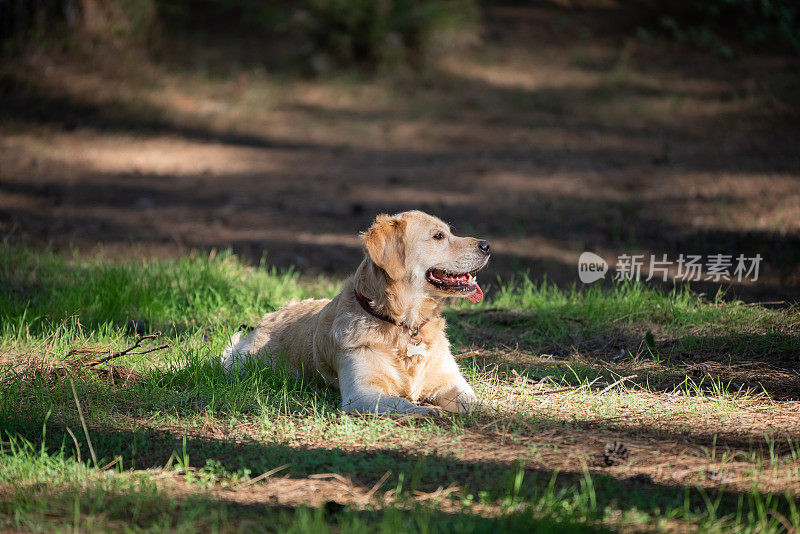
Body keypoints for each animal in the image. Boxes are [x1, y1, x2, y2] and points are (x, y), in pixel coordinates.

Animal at [222, 211, 490, 416]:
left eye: (449, 232)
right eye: (438, 236)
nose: (487, 245)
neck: (402, 324)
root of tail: (270, 315)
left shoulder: (450, 380)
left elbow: (472, 400)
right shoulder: (362, 394)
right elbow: (404, 403)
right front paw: (430, 410)